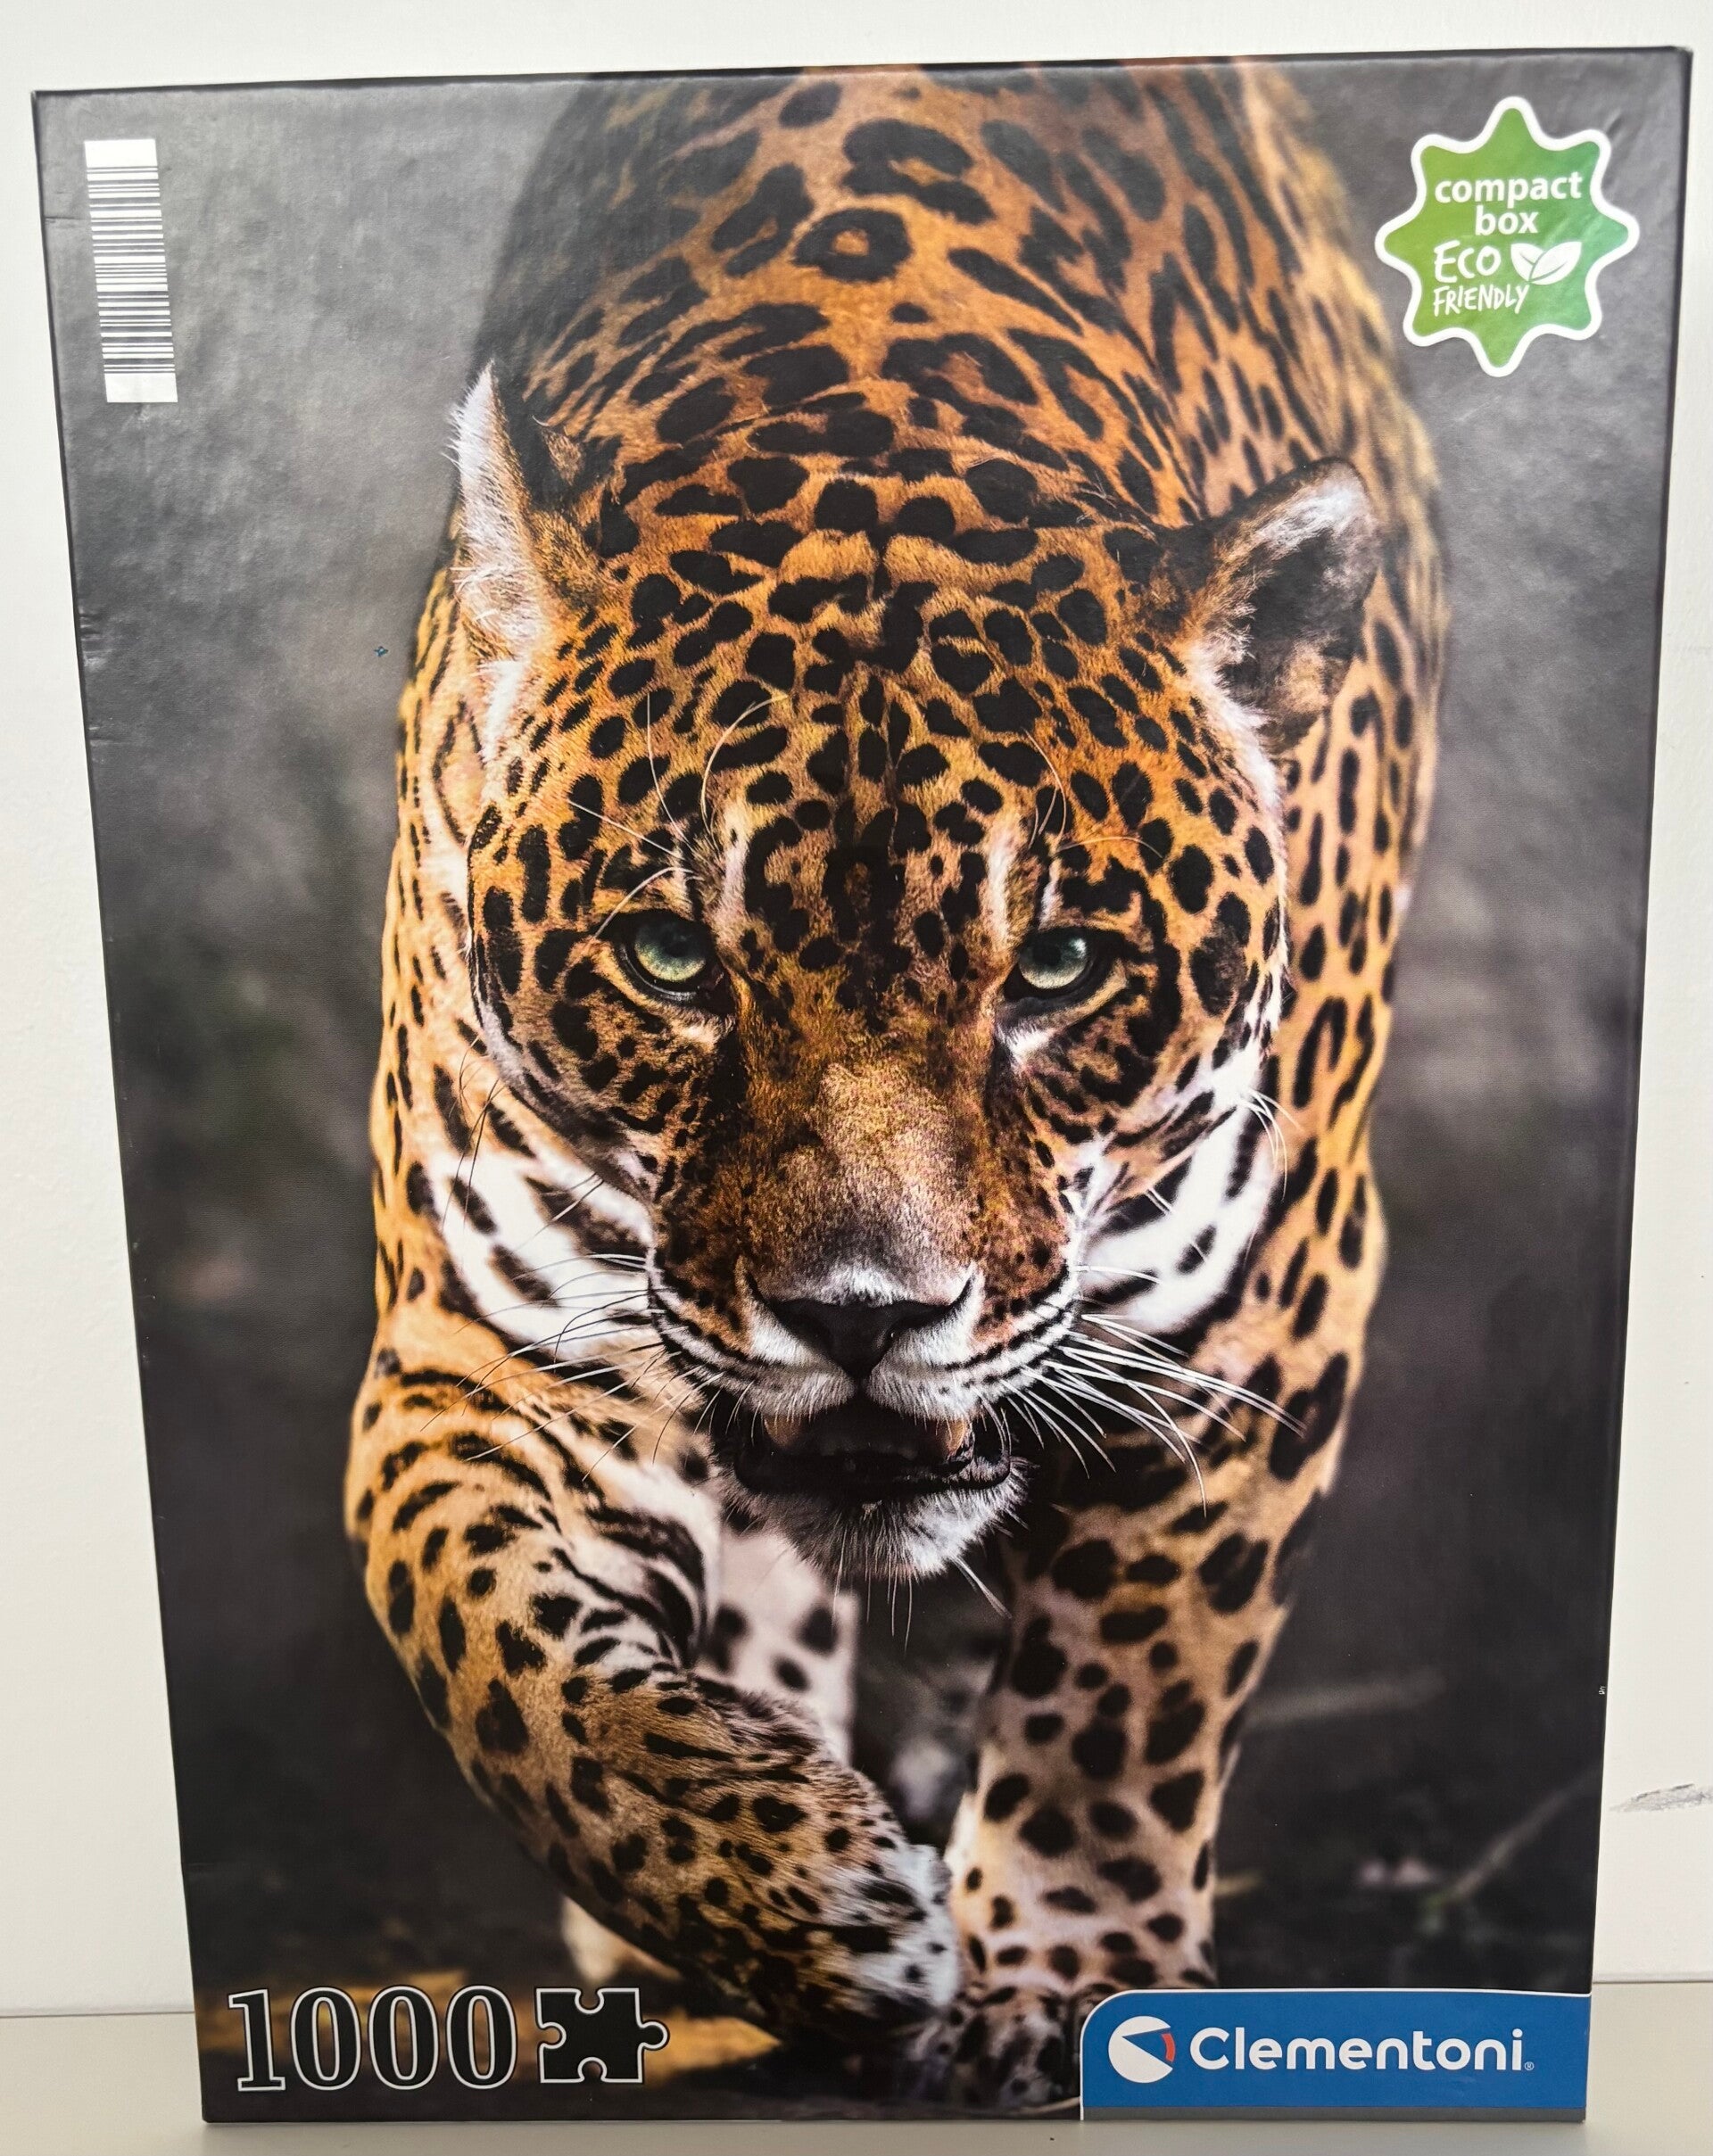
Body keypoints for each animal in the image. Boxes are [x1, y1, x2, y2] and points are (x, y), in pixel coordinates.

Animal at [345, 57, 1441, 2109]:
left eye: (1059, 970)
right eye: (673, 958)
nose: (861, 1315)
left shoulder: (1259, 1311)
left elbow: (1129, 1688)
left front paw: (1072, 1979)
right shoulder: (487, 1343)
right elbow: (490, 1645)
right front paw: (795, 1898)